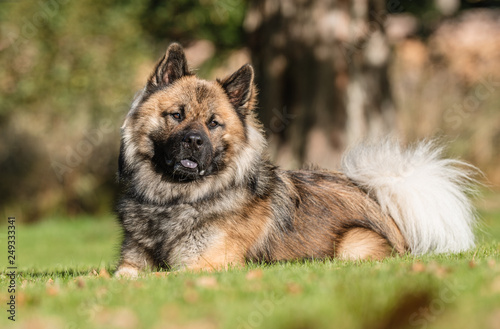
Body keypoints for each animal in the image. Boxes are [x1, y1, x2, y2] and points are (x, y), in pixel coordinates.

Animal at [113, 42, 476, 276]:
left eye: (213, 124)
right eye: (176, 115)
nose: (193, 140)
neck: (174, 199)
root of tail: (377, 200)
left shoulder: (206, 265)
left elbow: (162, 276)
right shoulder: (131, 263)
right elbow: (121, 276)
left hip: (352, 246)